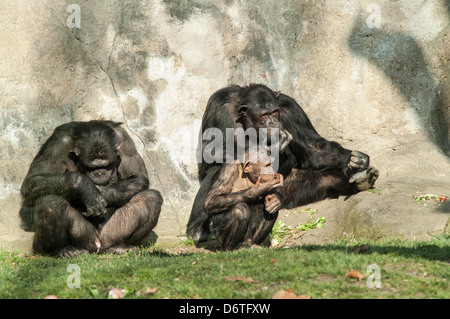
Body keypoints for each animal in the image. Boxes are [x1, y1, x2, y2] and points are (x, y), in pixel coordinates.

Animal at [19, 120, 163, 258]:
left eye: (106, 165)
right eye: (91, 167)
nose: (99, 173)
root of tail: (98, 245)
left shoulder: (125, 141)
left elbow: (136, 175)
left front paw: (104, 193)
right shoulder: (58, 144)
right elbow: (34, 179)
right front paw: (86, 188)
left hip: (110, 233)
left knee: (151, 198)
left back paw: (121, 246)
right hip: (84, 236)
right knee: (50, 202)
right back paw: (64, 250)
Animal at [187, 84, 380, 245]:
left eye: (274, 112)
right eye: (264, 115)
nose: (272, 122)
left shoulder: (290, 108)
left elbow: (312, 147)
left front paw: (359, 160)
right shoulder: (219, 104)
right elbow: (209, 150)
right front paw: (272, 147)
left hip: (284, 189)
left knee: (324, 178)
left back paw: (361, 178)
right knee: (218, 167)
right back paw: (197, 230)